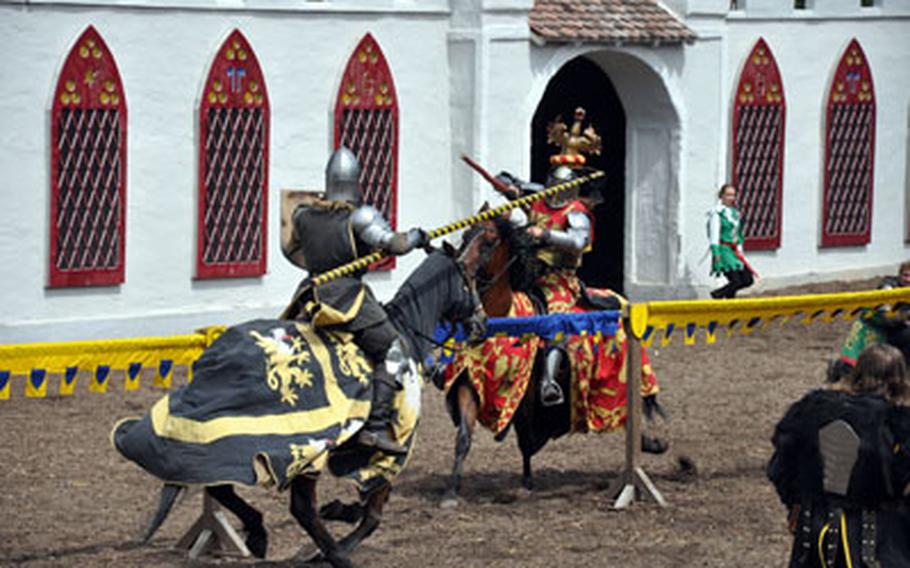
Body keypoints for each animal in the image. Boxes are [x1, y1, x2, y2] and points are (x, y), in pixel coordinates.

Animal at [116, 232, 498, 568]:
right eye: (469, 279)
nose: (481, 323)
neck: (407, 329)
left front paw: (339, 511)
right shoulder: (391, 449)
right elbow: (372, 514)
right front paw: (337, 531)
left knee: (220, 484)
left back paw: (259, 533)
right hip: (304, 451)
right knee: (299, 508)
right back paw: (334, 555)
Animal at [438, 219, 668, 506]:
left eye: (489, 242)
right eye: (466, 236)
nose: (458, 265)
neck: (503, 318)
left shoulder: (523, 390)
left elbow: (525, 438)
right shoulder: (472, 383)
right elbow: (466, 437)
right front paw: (452, 491)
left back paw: (650, 446)